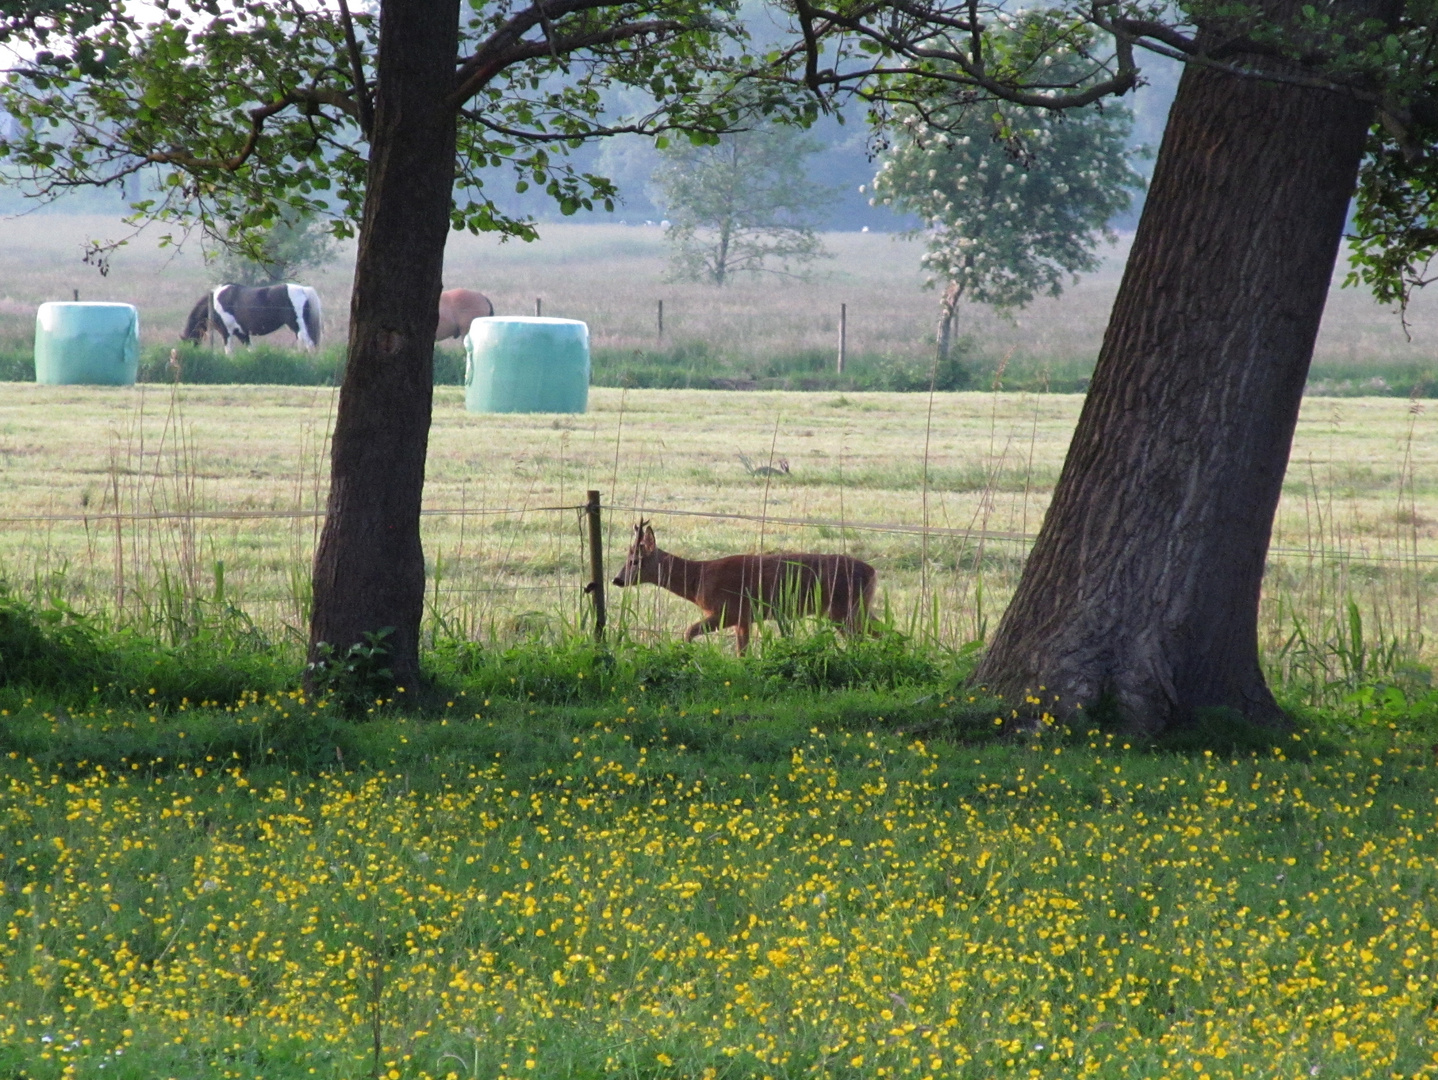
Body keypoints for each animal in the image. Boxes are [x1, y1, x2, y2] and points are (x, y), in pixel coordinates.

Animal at [182, 283, 323, 355]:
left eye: (189, 342)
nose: (190, 352)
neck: (216, 302)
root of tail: (304, 290)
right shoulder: (242, 333)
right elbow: (251, 350)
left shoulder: (226, 332)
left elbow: (229, 352)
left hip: (298, 326)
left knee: (309, 345)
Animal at [609, 520, 874, 655]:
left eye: (635, 561)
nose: (617, 580)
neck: (697, 580)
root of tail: (873, 572)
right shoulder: (745, 618)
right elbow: (741, 651)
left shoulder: (729, 610)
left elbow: (688, 631)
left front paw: (687, 656)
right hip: (857, 607)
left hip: (841, 609)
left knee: (860, 639)